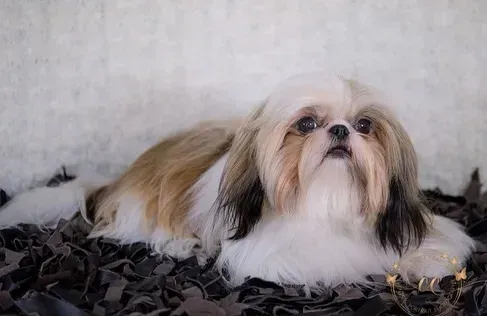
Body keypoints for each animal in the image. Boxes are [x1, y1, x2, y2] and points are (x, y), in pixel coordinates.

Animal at [0, 73, 476, 290]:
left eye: (364, 125)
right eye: (306, 124)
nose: (341, 130)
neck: (328, 201)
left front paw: (419, 262)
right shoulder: (275, 253)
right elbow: (350, 260)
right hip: (142, 209)